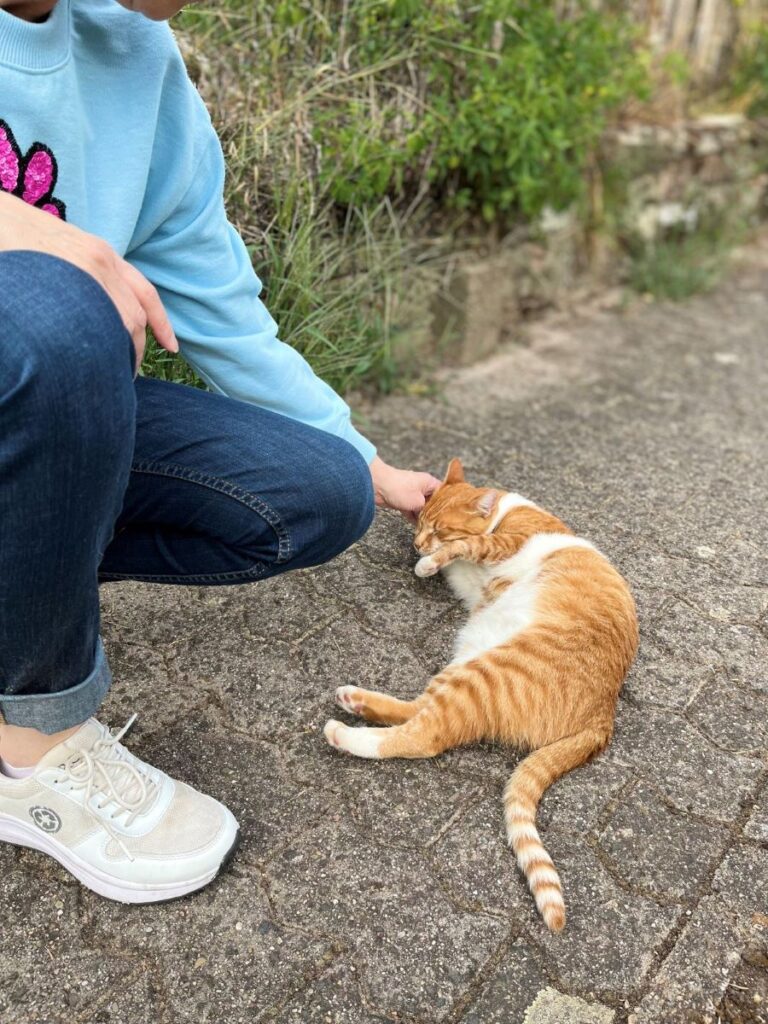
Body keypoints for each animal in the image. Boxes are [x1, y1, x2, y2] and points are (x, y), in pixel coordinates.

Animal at [323, 460, 638, 933]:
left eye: (438, 528)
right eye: (421, 522)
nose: (417, 543)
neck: (506, 510)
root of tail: (605, 714)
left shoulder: (503, 541)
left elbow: (469, 544)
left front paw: (429, 561)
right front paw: (426, 559)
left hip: (486, 673)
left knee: (424, 736)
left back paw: (344, 733)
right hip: (470, 655)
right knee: (417, 711)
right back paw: (355, 701)